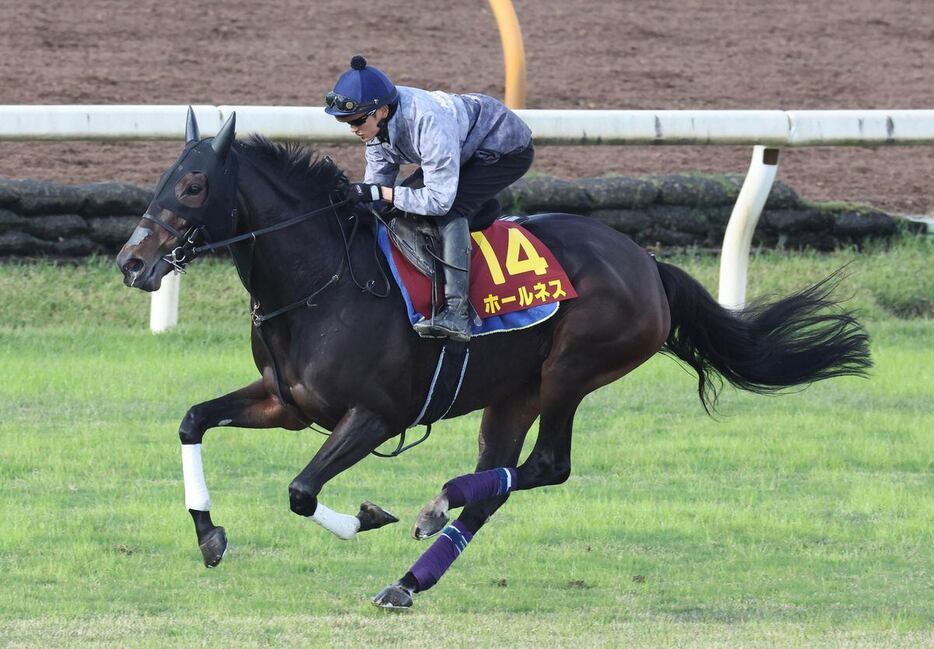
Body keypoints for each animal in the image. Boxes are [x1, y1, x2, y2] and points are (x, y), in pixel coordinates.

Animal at [115, 110, 872, 608]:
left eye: (191, 186)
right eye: (161, 178)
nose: (131, 263)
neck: (320, 280)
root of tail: (648, 264)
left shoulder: (376, 415)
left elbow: (302, 491)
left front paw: (369, 516)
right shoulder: (287, 402)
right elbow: (191, 420)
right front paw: (209, 534)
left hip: (571, 370)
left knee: (545, 466)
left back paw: (434, 506)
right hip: (512, 394)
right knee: (501, 481)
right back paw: (410, 578)